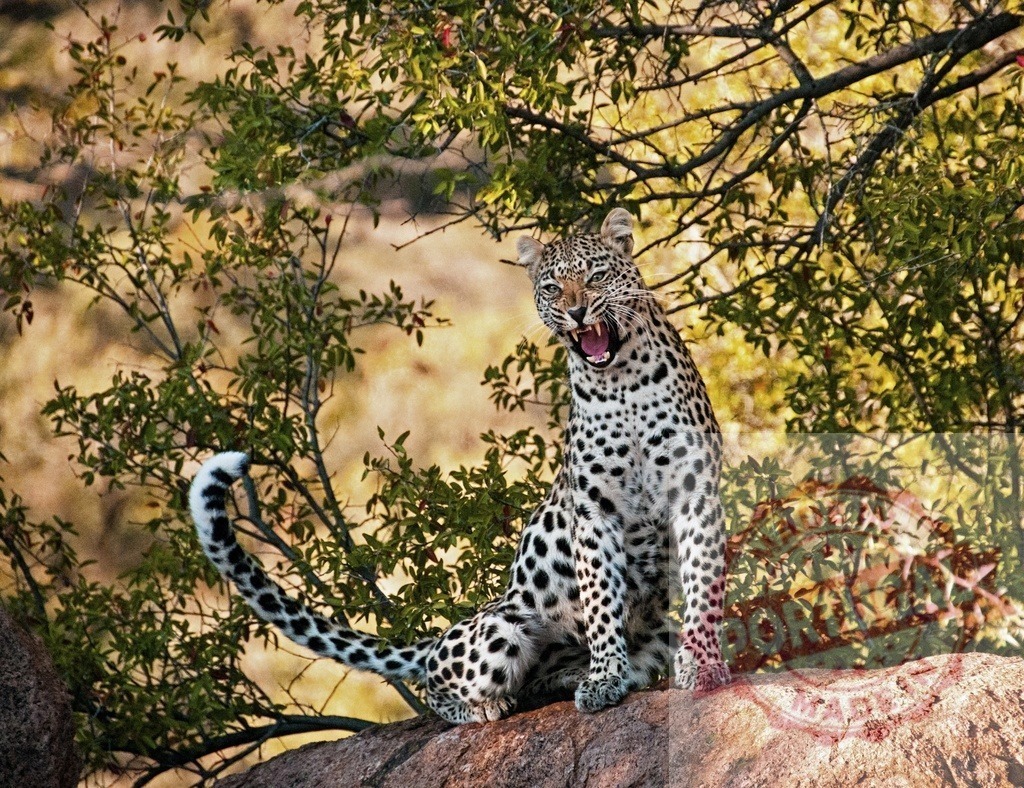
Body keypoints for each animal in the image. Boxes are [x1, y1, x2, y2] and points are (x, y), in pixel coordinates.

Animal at [189, 206, 731, 724]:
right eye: (552, 288)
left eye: (596, 276)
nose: (576, 312)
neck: (622, 381)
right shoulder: (595, 509)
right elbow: (600, 600)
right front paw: (605, 677)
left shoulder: (695, 489)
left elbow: (703, 583)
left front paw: (702, 664)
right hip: (499, 629)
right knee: (438, 687)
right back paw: (493, 704)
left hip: (648, 630)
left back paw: (572, 678)